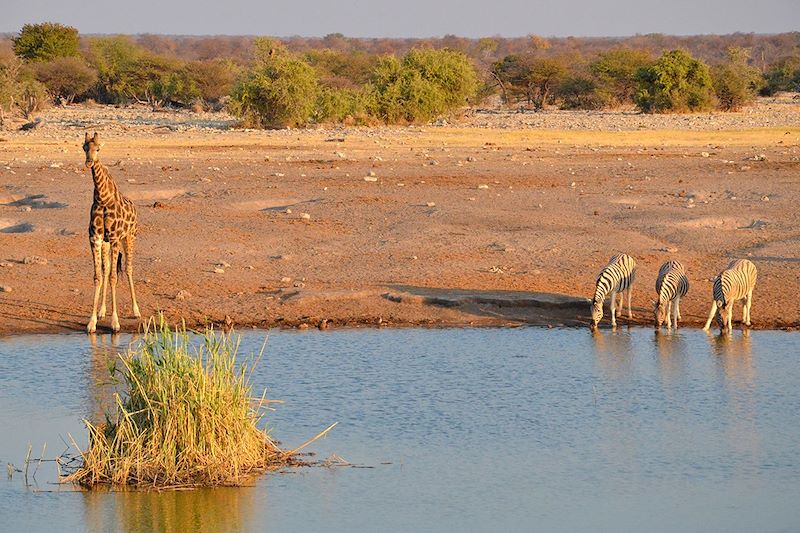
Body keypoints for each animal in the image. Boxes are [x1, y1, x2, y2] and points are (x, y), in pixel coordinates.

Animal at [83, 132, 141, 332]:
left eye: (98, 149)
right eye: (84, 147)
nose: (89, 162)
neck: (102, 198)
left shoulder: (115, 238)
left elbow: (115, 277)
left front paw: (115, 322)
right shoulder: (95, 238)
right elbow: (98, 276)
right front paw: (92, 321)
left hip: (130, 237)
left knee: (129, 269)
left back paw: (136, 311)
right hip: (107, 243)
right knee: (107, 269)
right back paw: (102, 311)